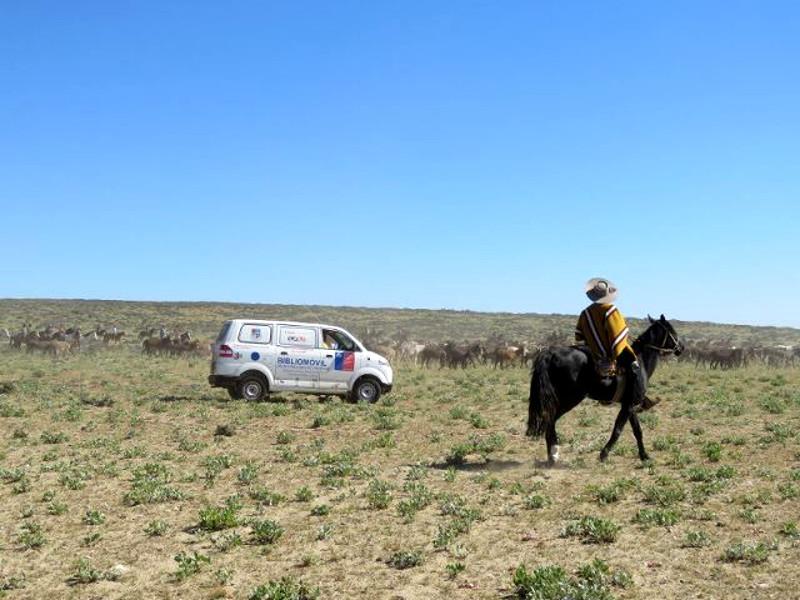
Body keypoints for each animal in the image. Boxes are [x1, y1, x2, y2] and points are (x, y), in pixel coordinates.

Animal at [524, 316, 680, 466]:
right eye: (672, 331)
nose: (681, 347)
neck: (640, 363)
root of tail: (551, 353)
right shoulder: (629, 405)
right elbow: (618, 430)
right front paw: (604, 454)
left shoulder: (629, 405)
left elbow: (637, 431)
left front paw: (644, 456)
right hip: (571, 398)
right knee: (550, 420)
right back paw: (554, 454)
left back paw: (551, 456)